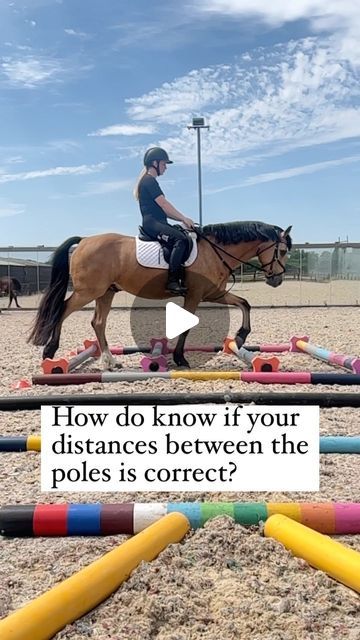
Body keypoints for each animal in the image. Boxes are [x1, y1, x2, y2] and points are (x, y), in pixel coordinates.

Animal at [28, 221, 292, 368]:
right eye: (282, 251)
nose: (277, 279)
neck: (214, 251)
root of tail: (83, 241)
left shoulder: (213, 293)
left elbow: (244, 303)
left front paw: (240, 337)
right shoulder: (195, 295)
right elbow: (187, 326)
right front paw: (181, 359)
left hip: (105, 292)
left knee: (98, 322)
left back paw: (110, 361)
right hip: (88, 291)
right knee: (62, 310)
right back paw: (49, 352)